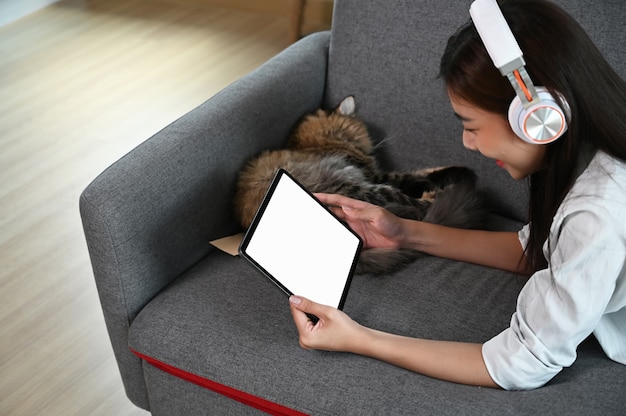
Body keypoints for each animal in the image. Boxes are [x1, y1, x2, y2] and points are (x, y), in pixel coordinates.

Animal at [233, 96, 482, 274]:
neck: (314, 143)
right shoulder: (375, 175)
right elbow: (413, 176)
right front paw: (446, 178)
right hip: (355, 187)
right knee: (414, 205)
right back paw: (442, 194)